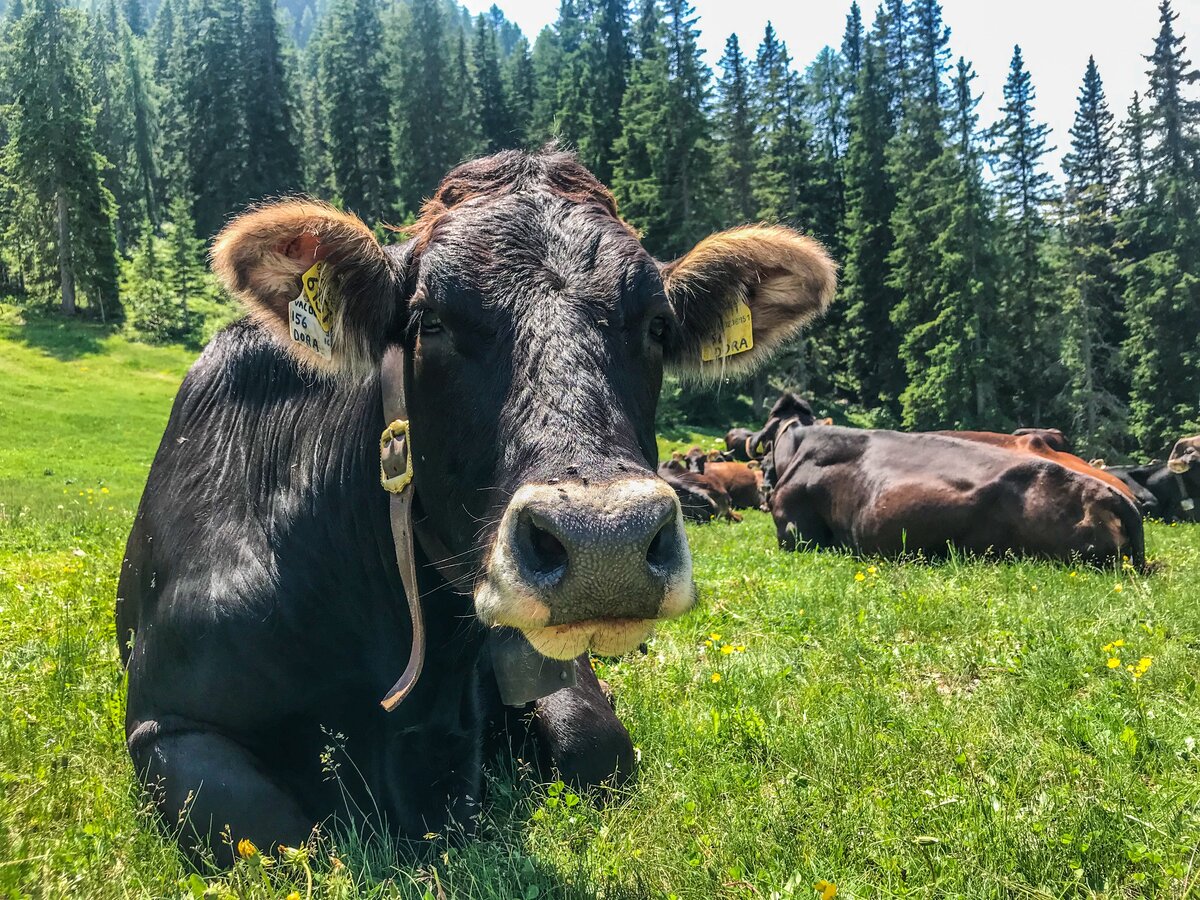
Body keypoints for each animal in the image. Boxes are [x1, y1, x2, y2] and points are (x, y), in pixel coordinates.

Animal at [117, 150, 840, 868]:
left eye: (658, 327)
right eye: (429, 321)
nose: (605, 544)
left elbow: (595, 745)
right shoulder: (167, 725)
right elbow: (279, 840)